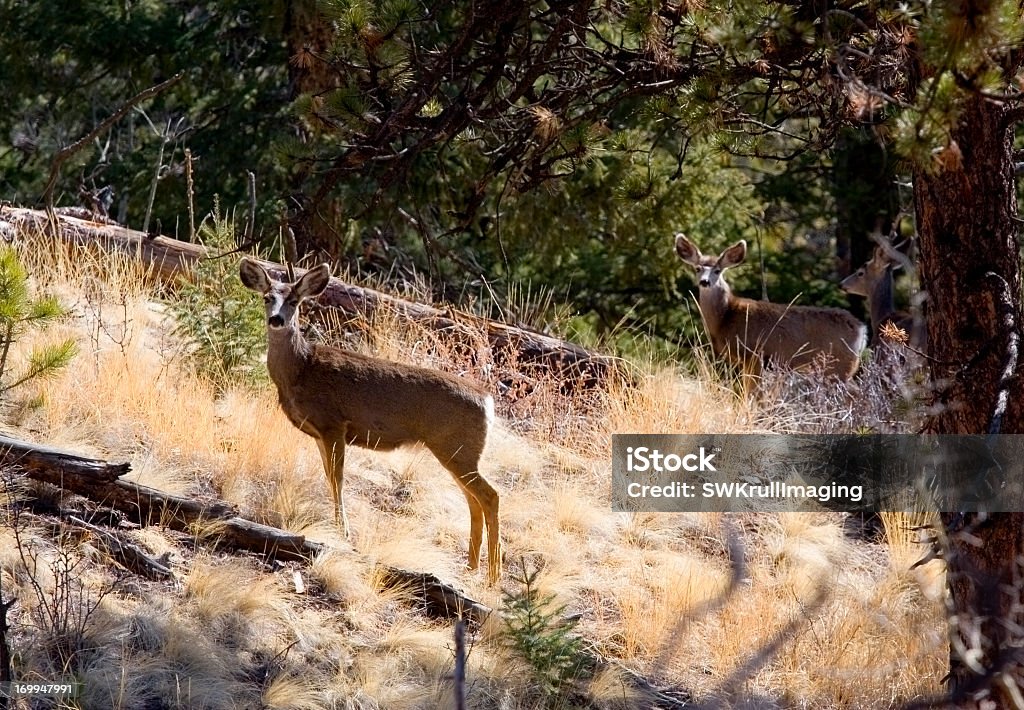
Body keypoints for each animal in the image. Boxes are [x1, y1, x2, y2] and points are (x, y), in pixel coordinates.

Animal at [235, 257, 499, 586]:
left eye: (295, 301)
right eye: (267, 297)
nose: (276, 320)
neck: (301, 370)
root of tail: (487, 401)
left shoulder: (334, 423)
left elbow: (337, 477)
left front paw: (343, 530)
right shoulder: (318, 433)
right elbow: (328, 476)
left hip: (457, 448)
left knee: (490, 496)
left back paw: (493, 576)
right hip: (457, 452)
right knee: (473, 500)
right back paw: (472, 566)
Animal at [675, 233, 868, 385]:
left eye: (717, 270)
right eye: (698, 268)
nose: (704, 282)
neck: (726, 317)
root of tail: (861, 329)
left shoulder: (753, 354)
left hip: (839, 365)